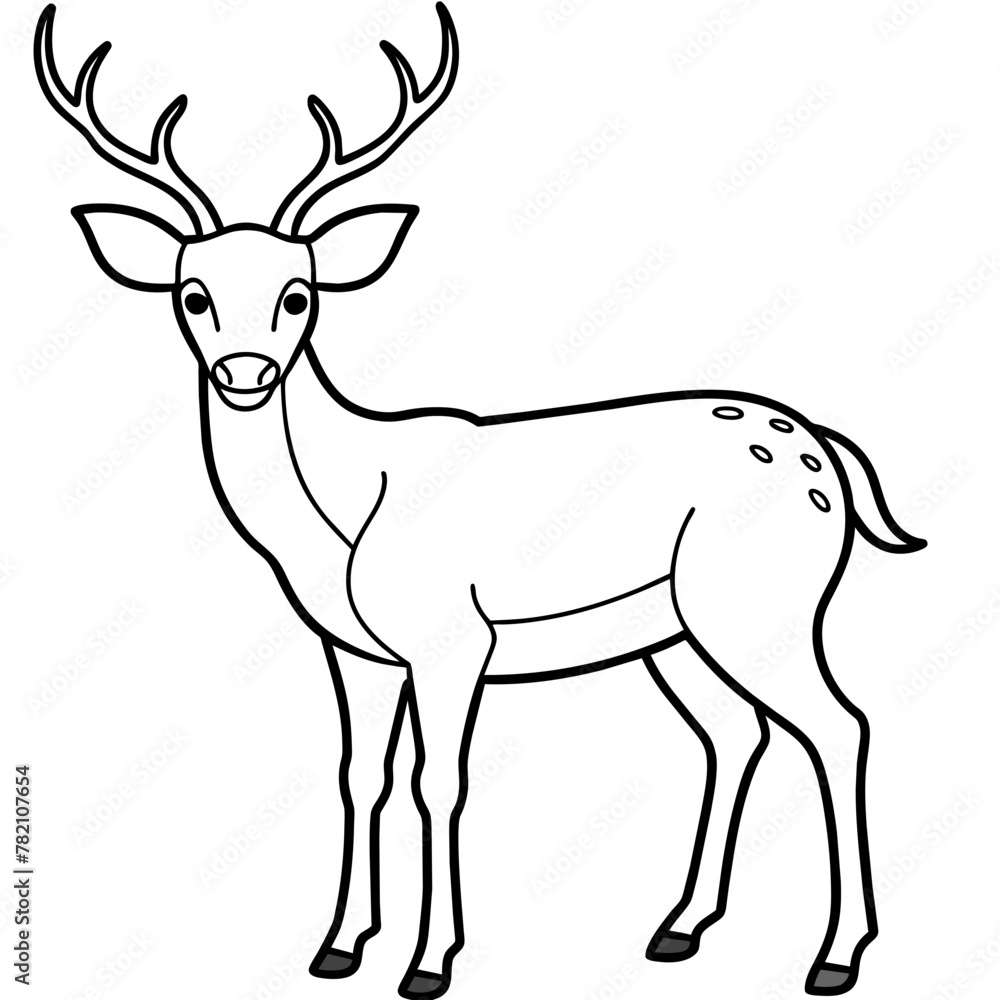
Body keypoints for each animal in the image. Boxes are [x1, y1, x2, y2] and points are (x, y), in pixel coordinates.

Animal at [35, 3, 926, 997]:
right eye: (192, 295)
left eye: (299, 295)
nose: (245, 373)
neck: (342, 516)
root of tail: (826, 451)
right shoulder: (356, 650)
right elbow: (360, 775)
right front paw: (338, 946)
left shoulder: (452, 638)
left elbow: (439, 782)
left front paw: (429, 963)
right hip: (676, 628)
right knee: (737, 735)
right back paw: (679, 928)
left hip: (765, 599)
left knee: (840, 726)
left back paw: (835, 955)